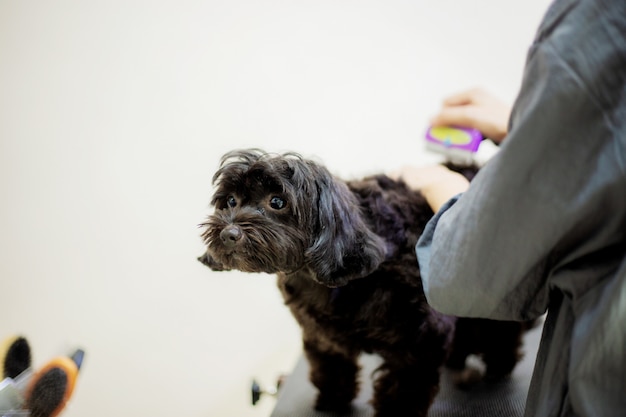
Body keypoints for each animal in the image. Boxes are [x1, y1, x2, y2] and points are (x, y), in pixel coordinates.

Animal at [196, 150, 528, 416]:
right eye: (230, 201)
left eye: (277, 202)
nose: (229, 233)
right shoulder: (322, 336)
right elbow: (331, 371)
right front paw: (331, 402)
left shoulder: (420, 343)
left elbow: (404, 390)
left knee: (500, 332)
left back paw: (498, 367)